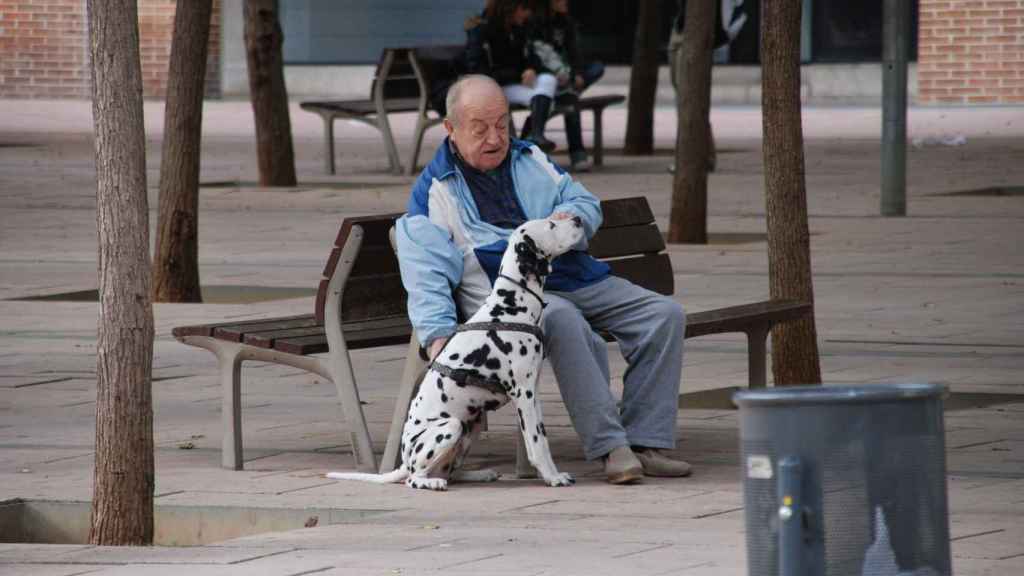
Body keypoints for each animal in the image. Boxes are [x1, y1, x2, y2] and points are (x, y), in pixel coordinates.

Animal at [327, 215, 585, 487]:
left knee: (450, 471)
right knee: (415, 478)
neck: (510, 308)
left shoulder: (533, 392)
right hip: (451, 426)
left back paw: (478, 474)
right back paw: (431, 482)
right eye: (551, 225)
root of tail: (404, 461)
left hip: (472, 423)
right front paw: (552, 477)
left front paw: (553, 474)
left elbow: (542, 439)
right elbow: (536, 443)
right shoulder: (523, 394)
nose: (578, 219)